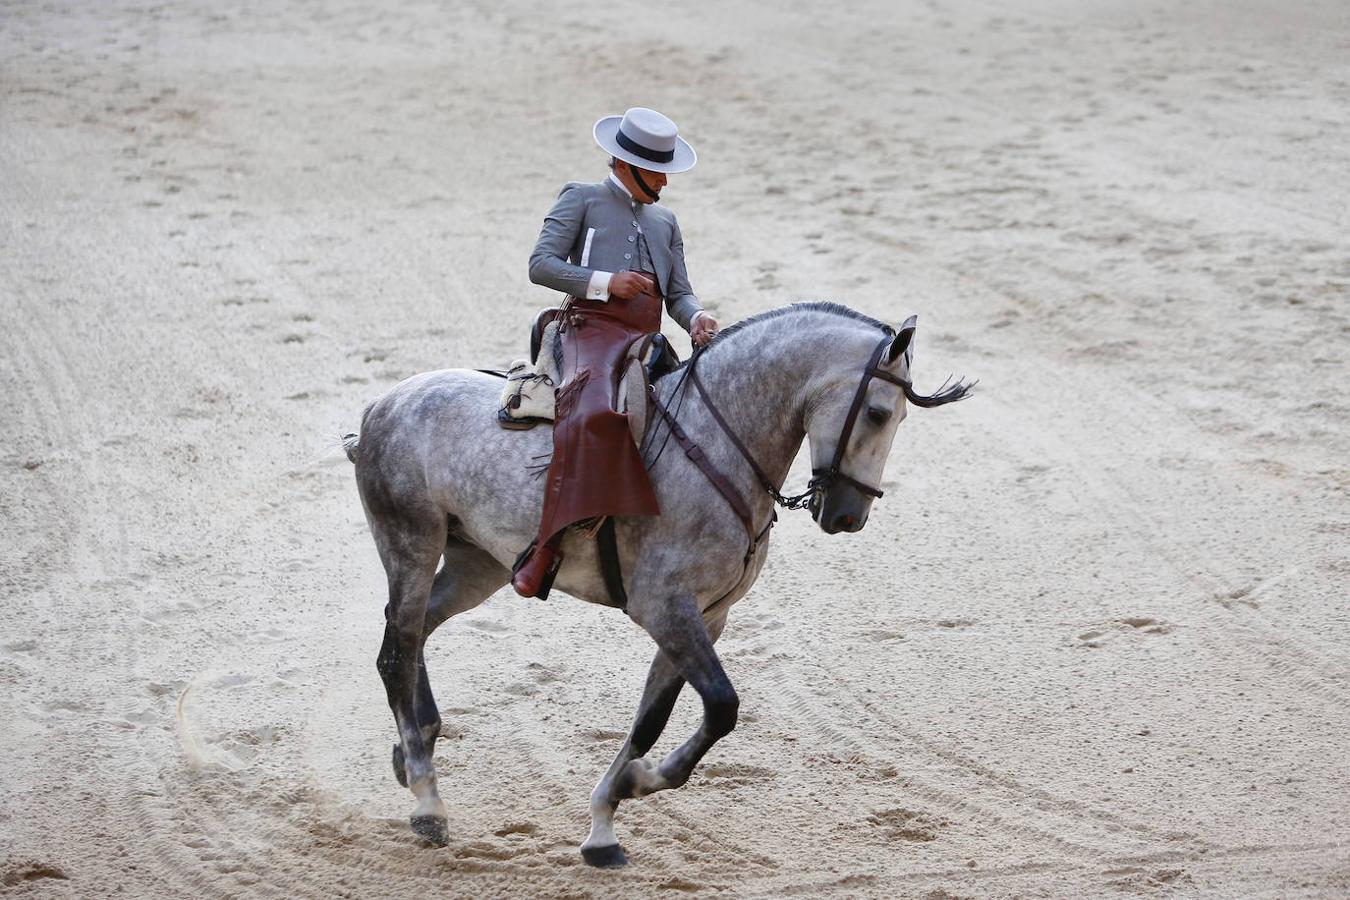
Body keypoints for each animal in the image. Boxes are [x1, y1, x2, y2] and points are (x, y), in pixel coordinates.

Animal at [342, 302, 966, 863]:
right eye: (880, 413)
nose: (847, 516)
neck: (718, 445)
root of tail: (383, 403)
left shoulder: (706, 616)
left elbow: (654, 716)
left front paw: (605, 821)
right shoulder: (665, 608)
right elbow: (722, 705)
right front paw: (638, 782)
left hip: (479, 564)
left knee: (412, 632)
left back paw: (415, 747)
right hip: (411, 542)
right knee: (398, 648)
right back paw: (426, 800)